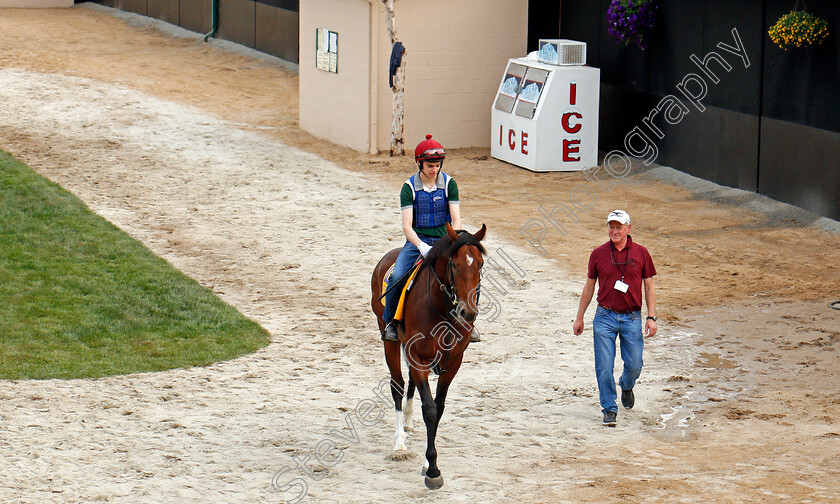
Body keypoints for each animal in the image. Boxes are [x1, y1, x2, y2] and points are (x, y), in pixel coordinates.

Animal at [370, 221, 486, 488]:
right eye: (454, 264)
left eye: (480, 264)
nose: (468, 312)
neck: (442, 308)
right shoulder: (419, 357)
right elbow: (430, 409)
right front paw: (433, 470)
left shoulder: (453, 361)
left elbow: (438, 407)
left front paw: (427, 463)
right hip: (388, 339)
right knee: (398, 385)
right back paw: (399, 444)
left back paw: (409, 423)